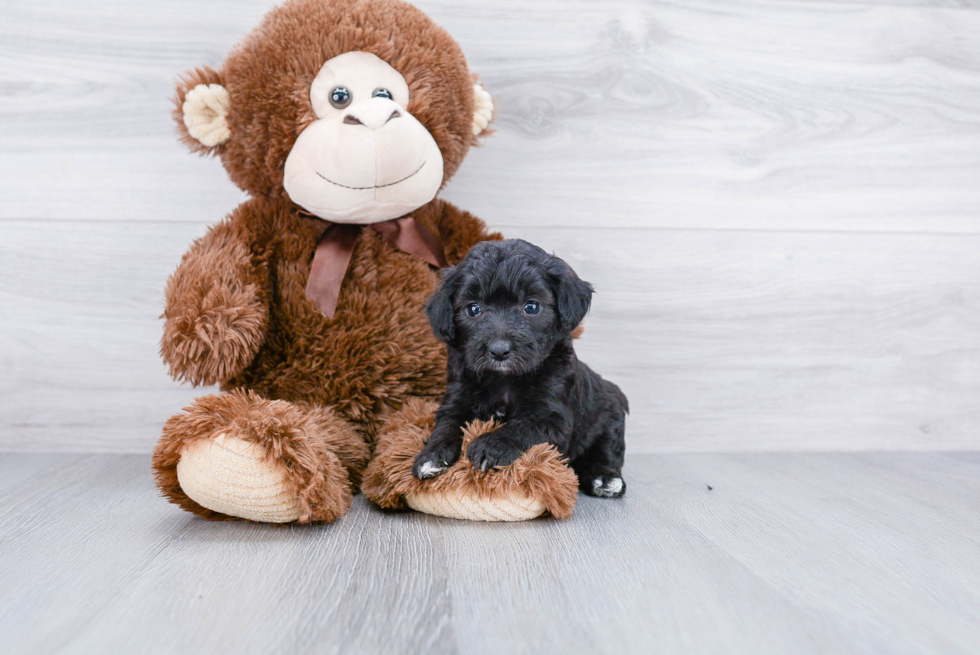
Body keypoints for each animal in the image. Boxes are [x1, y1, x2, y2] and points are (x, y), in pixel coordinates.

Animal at [412, 238, 628, 500]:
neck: (504, 379)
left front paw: (490, 446)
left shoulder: (553, 417)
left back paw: (605, 478)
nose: (499, 350)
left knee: (607, 451)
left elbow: (523, 426)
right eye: (473, 309)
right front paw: (431, 456)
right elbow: (448, 425)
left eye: (531, 307)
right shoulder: (456, 400)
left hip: (610, 418)